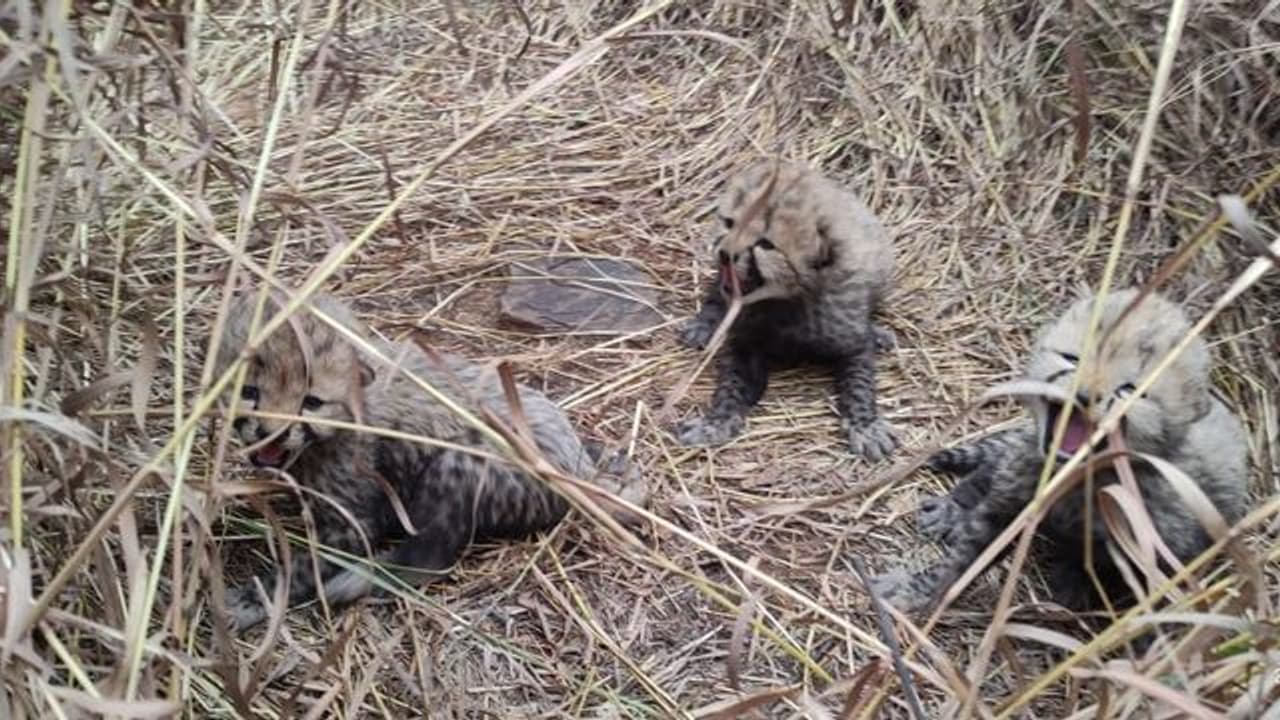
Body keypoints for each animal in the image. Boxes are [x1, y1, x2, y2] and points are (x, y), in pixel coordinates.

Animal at [213, 289, 646, 631]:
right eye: (249, 391)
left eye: (312, 401)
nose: (271, 433)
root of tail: (578, 466)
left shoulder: (351, 524)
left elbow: (302, 568)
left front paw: (251, 600)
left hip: (460, 465)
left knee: (429, 557)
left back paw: (358, 581)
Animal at [675, 160, 898, 461]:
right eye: (729, 223)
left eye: (766, 244)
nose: (724, 254)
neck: (787, 303)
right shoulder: (744, 342)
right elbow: (732, 384)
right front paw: (716, 422)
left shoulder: (851, 339)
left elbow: (859, 383)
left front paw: (866, 425)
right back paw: (704, 326)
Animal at [872, 288, 1250, 614]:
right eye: (1071, 360)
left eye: (1129, 391)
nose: (1084, 395)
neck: (1073, 474)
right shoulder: (1013, 501)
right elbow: (965, 555)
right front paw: (919, 588)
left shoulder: (1163, 550)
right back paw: (953, 509)